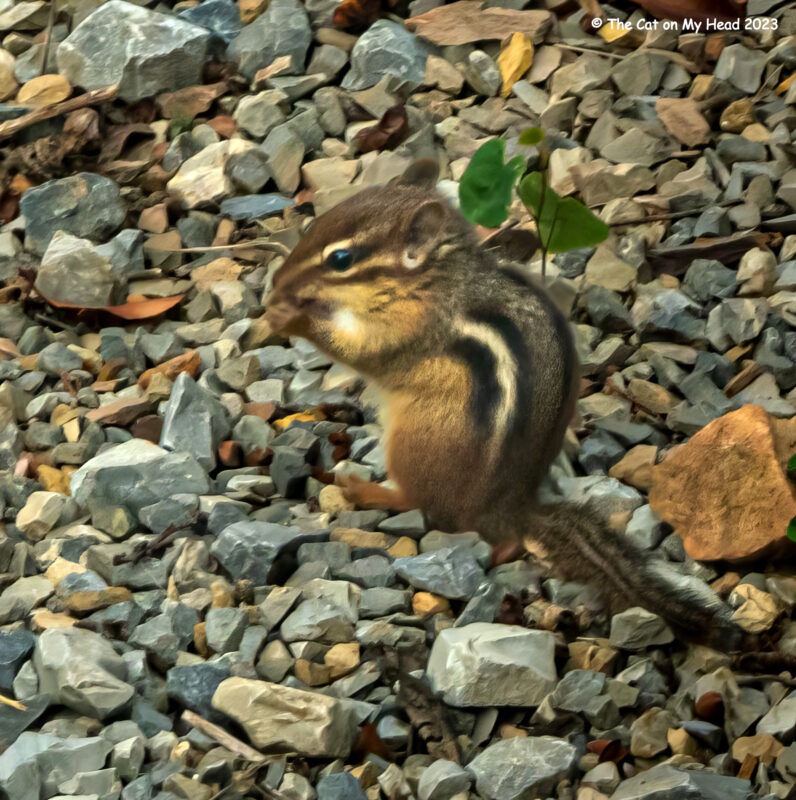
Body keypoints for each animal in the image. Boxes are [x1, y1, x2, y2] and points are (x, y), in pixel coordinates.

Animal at [265, 161, 745, 652]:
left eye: (341, 259)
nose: (278, 282)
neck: (435, 277)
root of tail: (508, 507)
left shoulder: (410, 330)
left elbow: (362, 353)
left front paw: (290, 315)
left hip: (412, 444)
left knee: (423, 505)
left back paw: (367, 491)